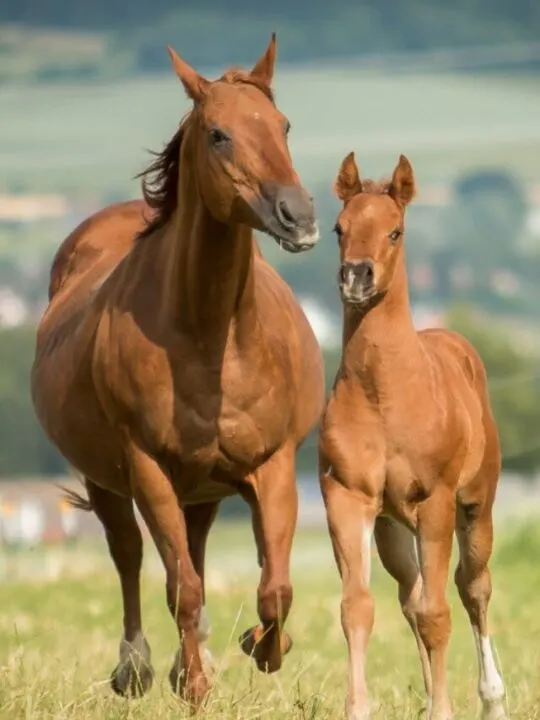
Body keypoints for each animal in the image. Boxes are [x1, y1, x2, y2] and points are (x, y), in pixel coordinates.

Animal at [31, 34, 325, 707]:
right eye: (218, 134)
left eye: (284, 125)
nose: (297, 217)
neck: (212, 338)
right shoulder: (148, 470)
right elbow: (180, 587)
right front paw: (192, 686)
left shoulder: (271, 466)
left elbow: (276, 589)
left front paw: (259, 647)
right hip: (109, 480)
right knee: (132, 555)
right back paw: (138, 667)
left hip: (204, 488)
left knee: (194, 549)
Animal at [318, 152, 506, 720]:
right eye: (339, 228)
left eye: (395, 231)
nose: (356, 276)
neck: (386, 396)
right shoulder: (347, 498)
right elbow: (357, 608)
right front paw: (358, 707)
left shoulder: (435, 502)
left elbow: (438, 613)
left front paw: (444, 708)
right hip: (392, 529)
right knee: (411, 594)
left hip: (474, 508)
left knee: (472, 588)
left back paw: (493, 698)